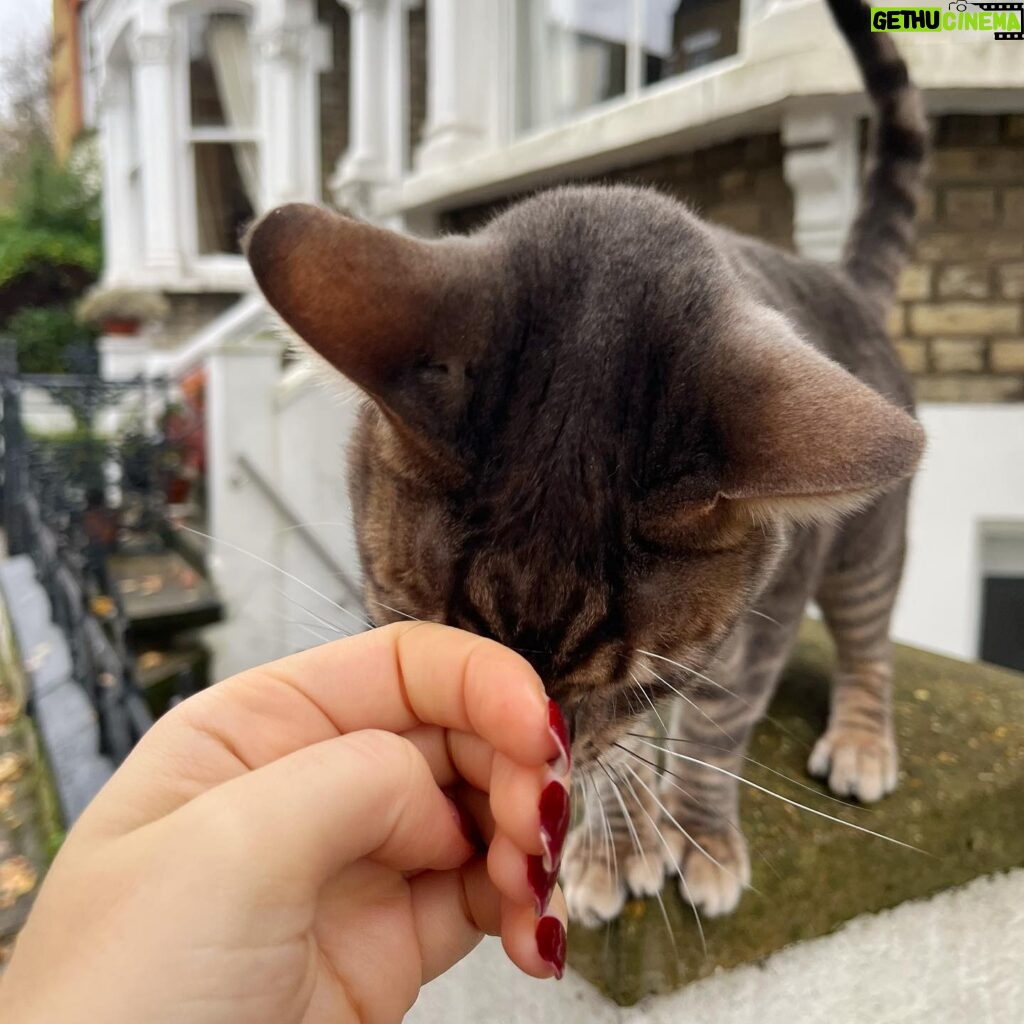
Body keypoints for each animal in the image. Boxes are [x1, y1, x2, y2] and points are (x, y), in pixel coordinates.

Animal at [245, 0, 929, 925]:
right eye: (427, 627)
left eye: (641, 679)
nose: (511, 753)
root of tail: (847, 283)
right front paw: (619, 835)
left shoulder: (761, 615)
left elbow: (716, 718)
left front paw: (697, 833)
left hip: (866, 549)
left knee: (868, 639)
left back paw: (861, 738)